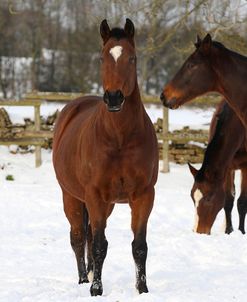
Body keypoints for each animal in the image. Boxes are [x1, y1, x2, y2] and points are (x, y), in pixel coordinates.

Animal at [53, 18, 159, 294]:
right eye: (102, 58)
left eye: (132, 58)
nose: (113, 98)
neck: (119, 138)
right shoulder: (95, 195)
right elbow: (100, 245)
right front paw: (96, 290)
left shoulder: (143, 195)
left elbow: (139, 246)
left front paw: (142, 289)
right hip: (72, 197)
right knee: (79, 237)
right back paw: (83, 279)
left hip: (106, 203)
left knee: (89, 235)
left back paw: (90, 274)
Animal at [187, 100, 247, 235]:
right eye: (192, 196)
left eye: (209, 198)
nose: (198, 231)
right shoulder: (227, 168)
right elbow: (228, 201)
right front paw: (228, 230)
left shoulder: (246, 167)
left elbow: (242, 202)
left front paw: (241, 231)